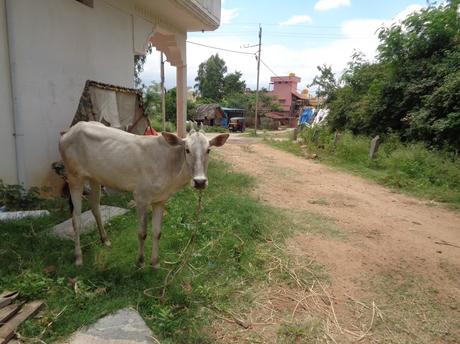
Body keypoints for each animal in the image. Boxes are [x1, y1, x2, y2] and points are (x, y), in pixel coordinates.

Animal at [58, 121, 229, 266]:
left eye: (208, 150)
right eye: (187, 150)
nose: (200, 182)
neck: (170, 166)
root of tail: (69, 131)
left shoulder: (160, 200)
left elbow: (157, 232)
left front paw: (155, 262)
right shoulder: (140, 197)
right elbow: (142, 233)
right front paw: (140, 261)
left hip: (95, 179)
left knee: (95, 208)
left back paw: (105, 240)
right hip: (74, 177)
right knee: (76, 218)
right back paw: (78, 257)